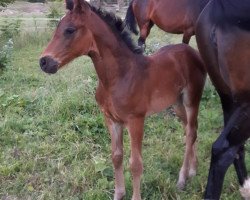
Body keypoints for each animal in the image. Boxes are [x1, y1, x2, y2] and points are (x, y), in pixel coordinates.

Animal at [40, 0, 206, 199]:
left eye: (70, 30)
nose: (44, 62)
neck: (119, 77)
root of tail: (194, 52)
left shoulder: (136, 120)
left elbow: (135, 164)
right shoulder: (112, 119)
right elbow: (116, 157)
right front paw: (118, 193)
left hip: (191, 99)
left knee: (190, 133)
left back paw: (182, 178)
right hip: (177, 103)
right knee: (191, 129)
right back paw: (193, 170)